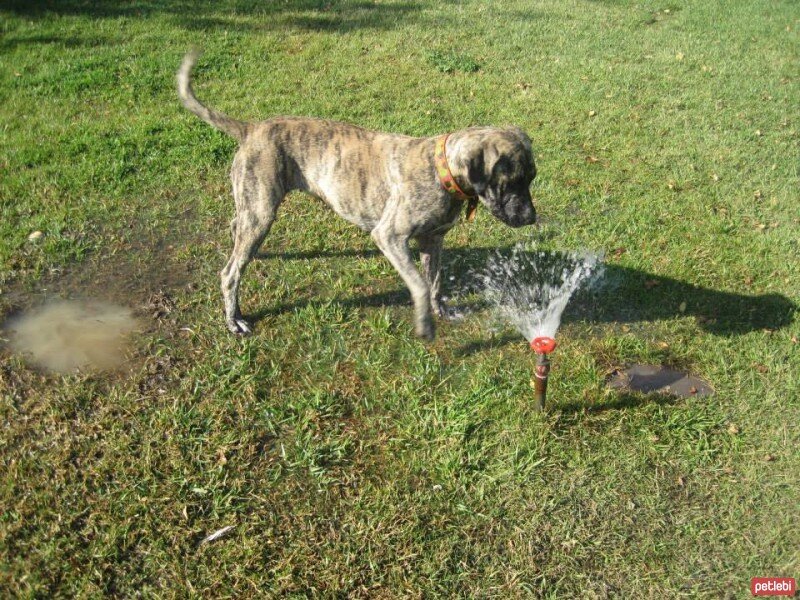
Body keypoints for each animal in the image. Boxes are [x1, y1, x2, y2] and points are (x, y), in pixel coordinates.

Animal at [178, 49, 536, 340]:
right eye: (511, 182)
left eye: (531, 178)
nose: (532, 218)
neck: (440, 169)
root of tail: (251, 129)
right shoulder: (390, 236)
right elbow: (420, 285)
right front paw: (425, 324)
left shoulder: (433, 241)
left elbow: (434, 282)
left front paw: (441, 310)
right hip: (262, 211)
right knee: (230, 273)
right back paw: (233, 319)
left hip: (254, 208)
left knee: (237, 230)